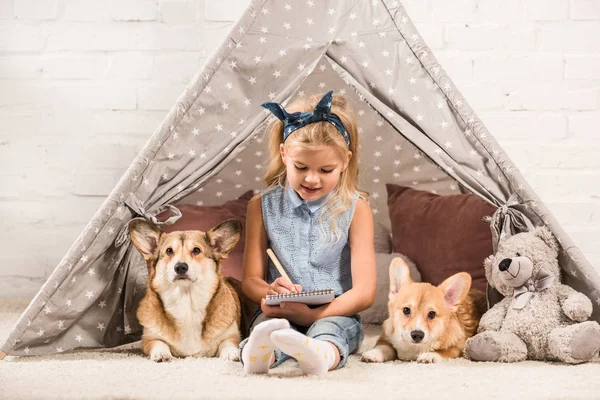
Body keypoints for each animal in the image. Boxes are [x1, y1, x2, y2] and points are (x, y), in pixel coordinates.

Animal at [129, 219, 255, 362]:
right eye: (169, 251)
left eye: (196, 250)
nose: (180, 267)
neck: (186, 302)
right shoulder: (149, 338)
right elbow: (158, 342)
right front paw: (161, 354)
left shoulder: (231, 335)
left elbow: (227, 343)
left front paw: (231, 353)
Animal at [360, 258, 488, 364]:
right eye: (406, 310)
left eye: (432, 314)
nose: (417, 335)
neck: (413, 348)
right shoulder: (385, 337)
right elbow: (383, 346)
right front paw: (373, 353)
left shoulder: (458, 347)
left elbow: (444, 351)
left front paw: (430, 355)